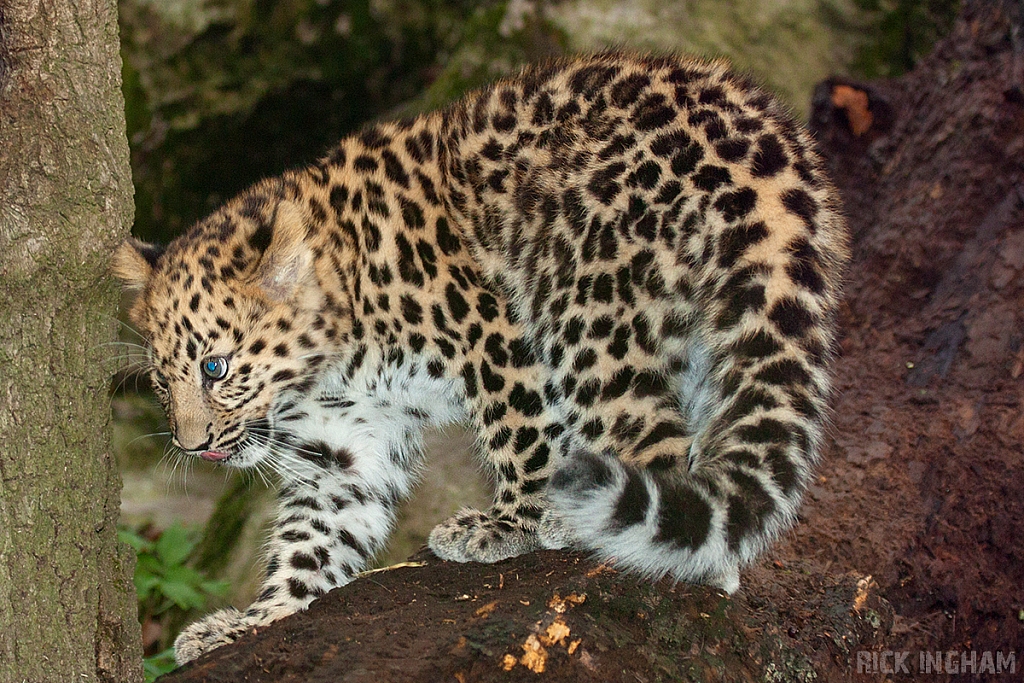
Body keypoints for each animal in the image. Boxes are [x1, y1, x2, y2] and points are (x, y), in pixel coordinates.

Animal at [112, 52, 847, 663]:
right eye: (162, 381)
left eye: (215, 367)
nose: (192, 445)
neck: (333, 356)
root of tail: (757, 131)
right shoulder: (347, 448)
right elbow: (315, 540)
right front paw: (252, 621)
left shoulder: (490, 329)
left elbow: (522, 434)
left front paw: (508, 523)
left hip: (579, 298)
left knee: (654, 439)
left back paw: (578, 523)